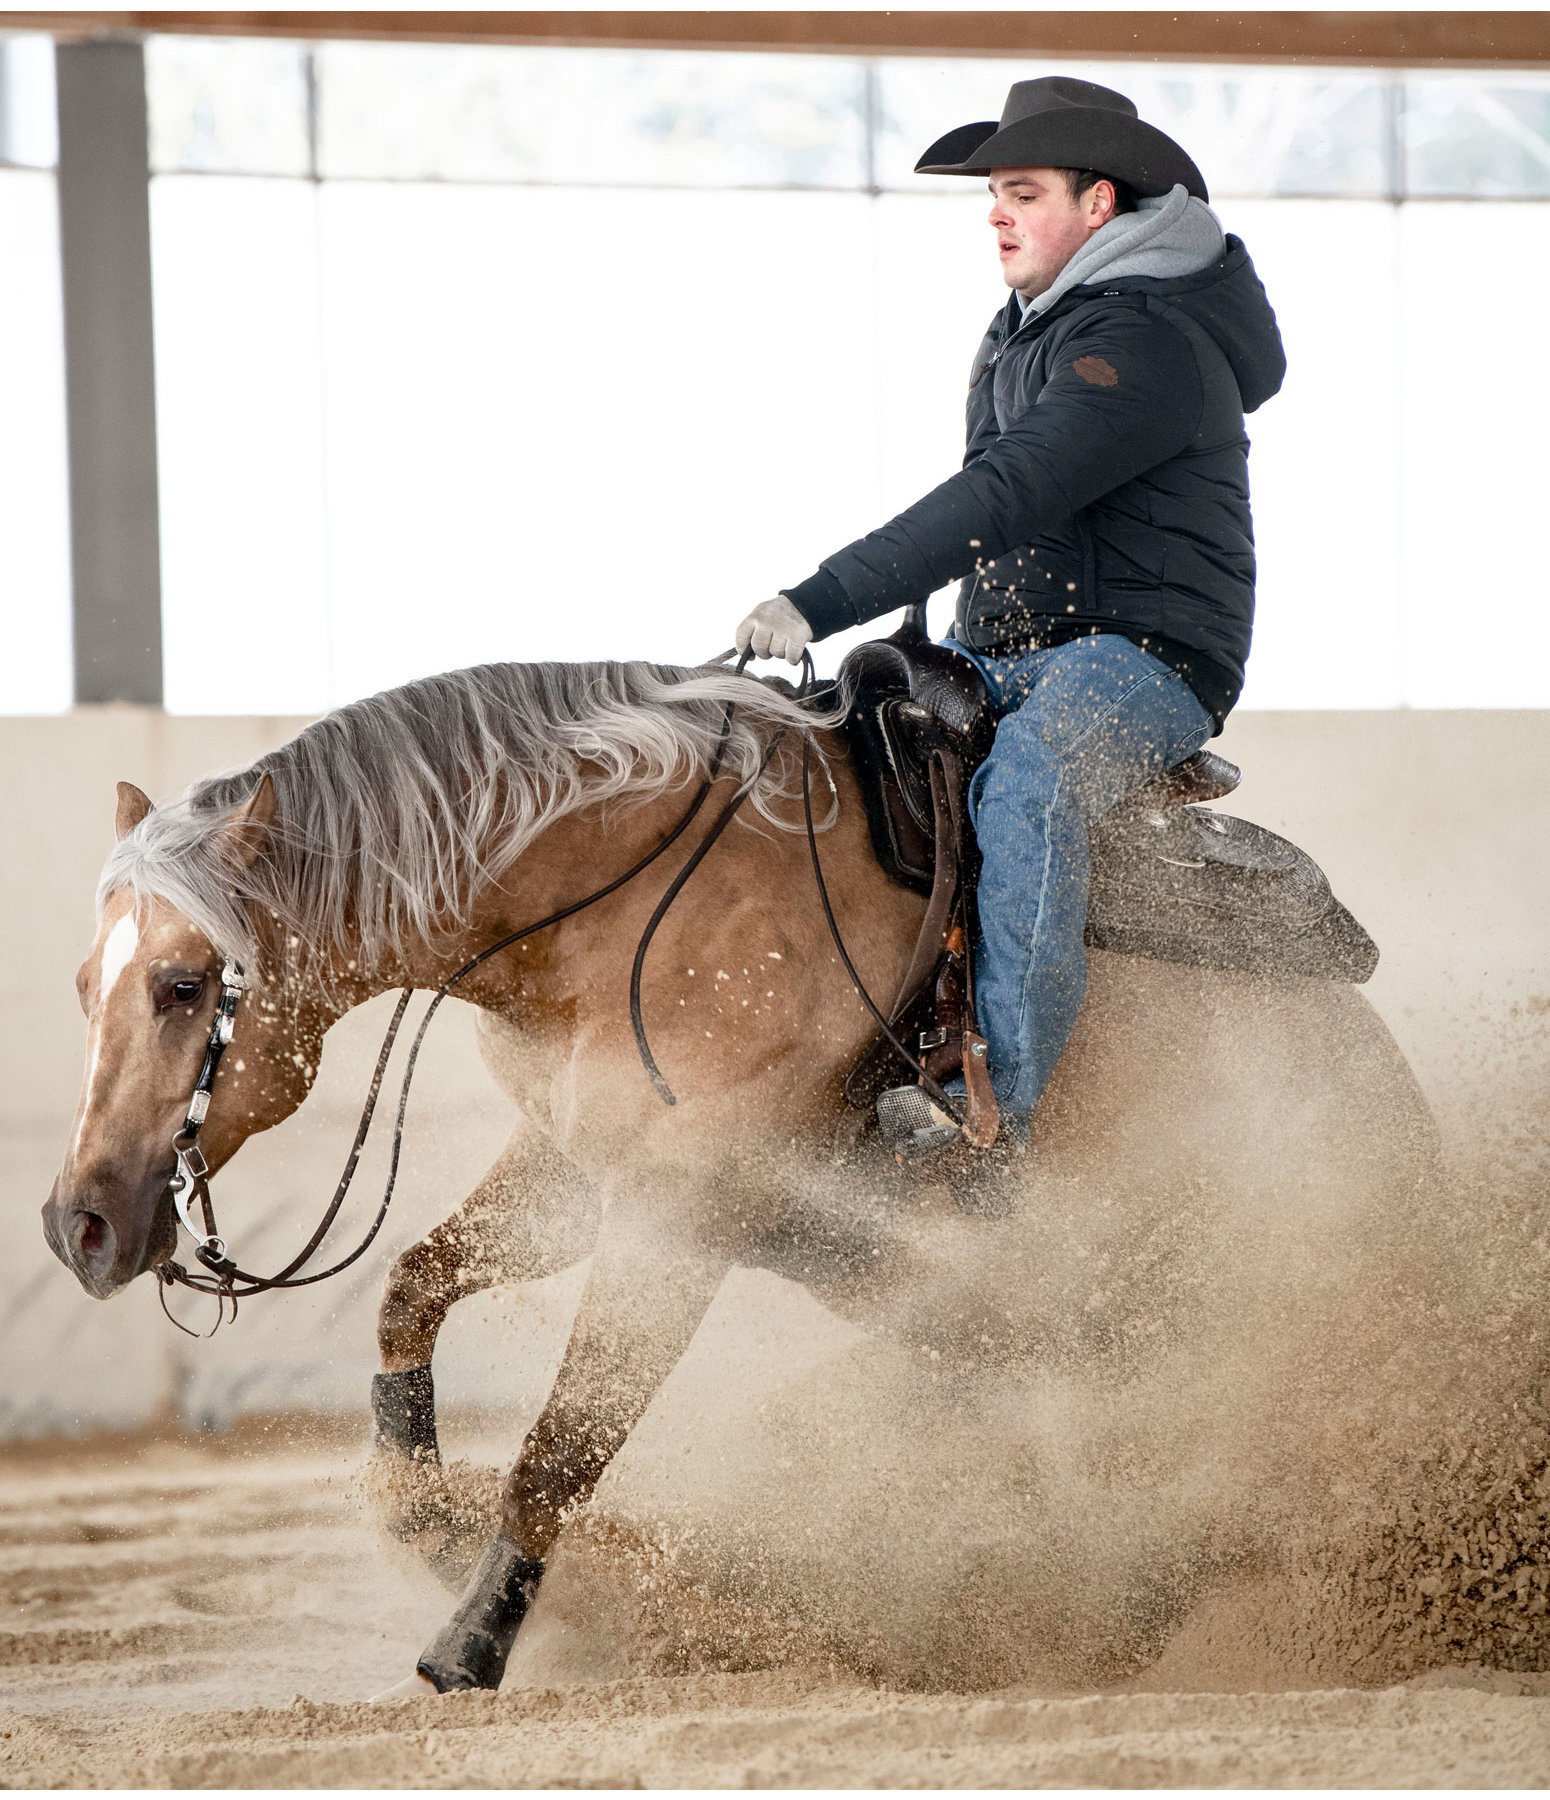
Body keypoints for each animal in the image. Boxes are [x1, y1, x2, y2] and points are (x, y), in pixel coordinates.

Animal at [42, 658, 1432, 1684]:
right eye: (85, 984)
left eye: (183, 985)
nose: (77, 1227)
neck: (618, 910)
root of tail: (1396, 1105)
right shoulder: (573, 1172)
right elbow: (414, 1285)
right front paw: (415, 1507)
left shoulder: (682, 1213)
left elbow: (565, 1442)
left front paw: (472, 1641)